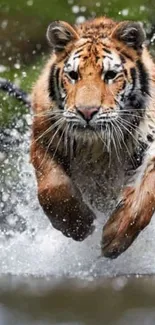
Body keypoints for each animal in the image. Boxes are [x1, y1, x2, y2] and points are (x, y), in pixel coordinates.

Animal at [30, 16, 155, 258]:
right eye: (73, 75)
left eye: (110, 75)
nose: (86, 112)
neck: (96, 146)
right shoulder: (42, 137)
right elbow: (52, 187)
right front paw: (77, 225)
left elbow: (144, 195)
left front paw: (115, 238)